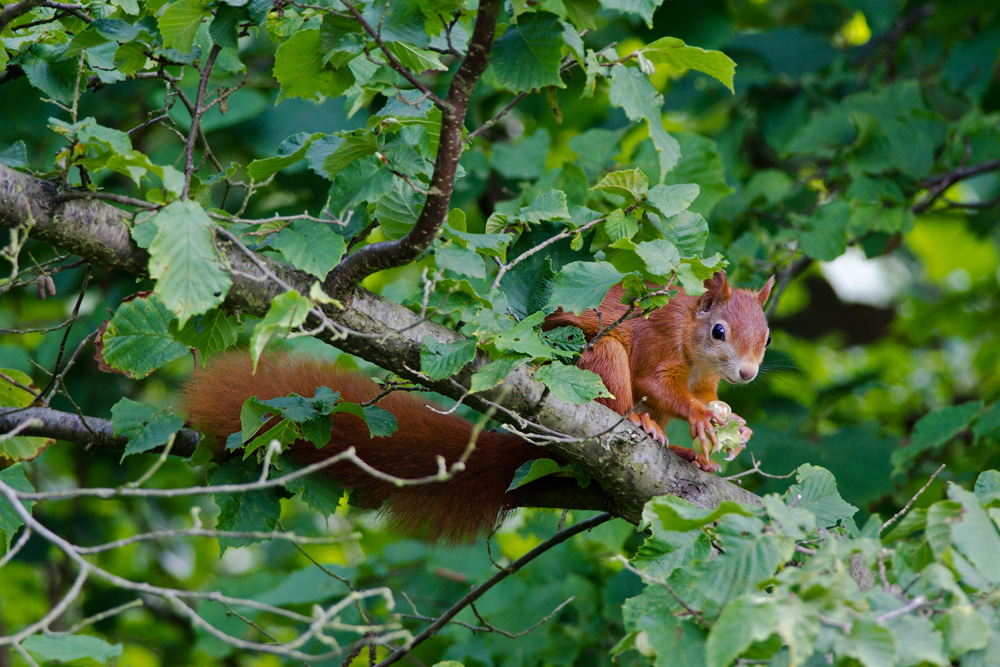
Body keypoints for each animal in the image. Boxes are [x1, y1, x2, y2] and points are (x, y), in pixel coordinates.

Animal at [180, 272, 772, 544]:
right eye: (719, 331)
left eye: (765, 337)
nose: (747, 375)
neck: (695, 351)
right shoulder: (659, 342)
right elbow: (657, 382)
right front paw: (700, 421)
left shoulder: (705, 380)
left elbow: (704, 399)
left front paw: (722, 431)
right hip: (597, 359)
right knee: (618, 393)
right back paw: (642, 422)